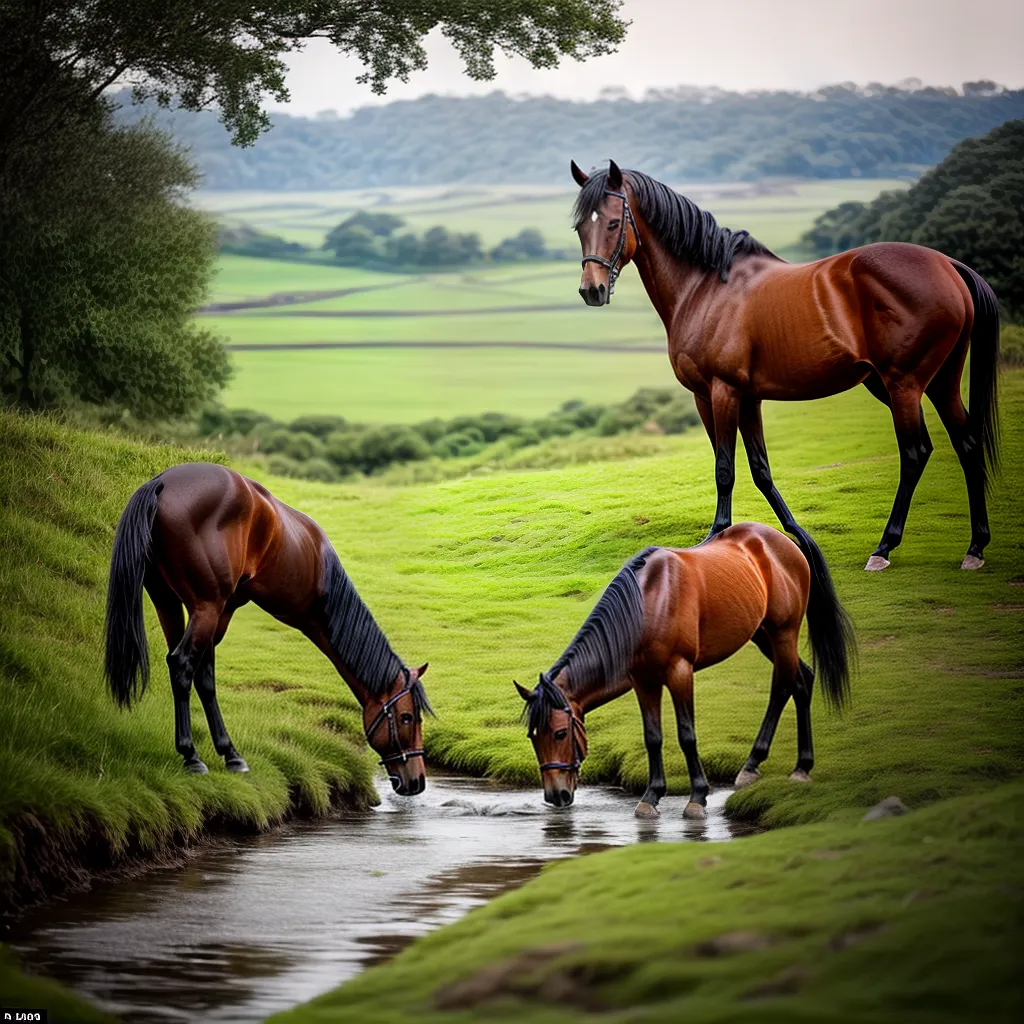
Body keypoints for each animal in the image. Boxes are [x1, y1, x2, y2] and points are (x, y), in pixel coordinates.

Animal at [104, 462, 431, 794]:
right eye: (407, 717)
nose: (416, 781)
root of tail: (162, 483)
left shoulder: (220, 613)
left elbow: (206, 680)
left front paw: (230, 754)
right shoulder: (216, 611)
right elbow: (200, 674)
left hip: (167, 600)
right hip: (204, 606)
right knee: (181, 664)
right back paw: (191, 756)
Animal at [514, 523, 855, 819]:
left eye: (560, 733)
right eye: (532, 736)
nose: (555, 795)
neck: (648, 603)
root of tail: (781, 540)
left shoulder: (680, 672)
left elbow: (686, 735)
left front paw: (697, 797)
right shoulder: (644, 681)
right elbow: (653, 737)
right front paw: (652, 795)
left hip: (783, 632)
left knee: (782, 688)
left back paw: (755, 764)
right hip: (762, 634)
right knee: (802, 680)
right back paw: (802, 766)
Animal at [569, 159, 1001, 573]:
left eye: (613, 222)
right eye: (579, 226)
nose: (592, 290)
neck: (706, 287)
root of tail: (947, 265)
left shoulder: (718, 392)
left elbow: (724, 468)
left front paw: (717, 536)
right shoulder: (747, 398)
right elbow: (760, 468)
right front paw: (798, 535)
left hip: (904, 385)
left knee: (915, 453)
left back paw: (885, 548)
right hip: (936, 382)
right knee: (966, 442)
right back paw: (975, 546)